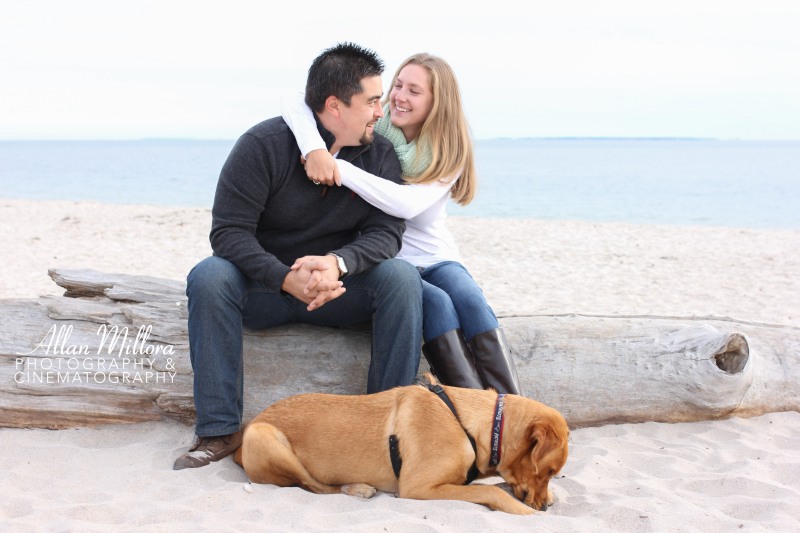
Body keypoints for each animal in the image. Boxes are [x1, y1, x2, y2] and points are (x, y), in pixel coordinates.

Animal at [231, 374, 568, 516]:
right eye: (548, 470)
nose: (545, 506)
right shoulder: (417, 487)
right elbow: (491, 491)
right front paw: (530, 515)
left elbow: (493, 485)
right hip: (265, 437)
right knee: (313, 486)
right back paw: (356, 488)